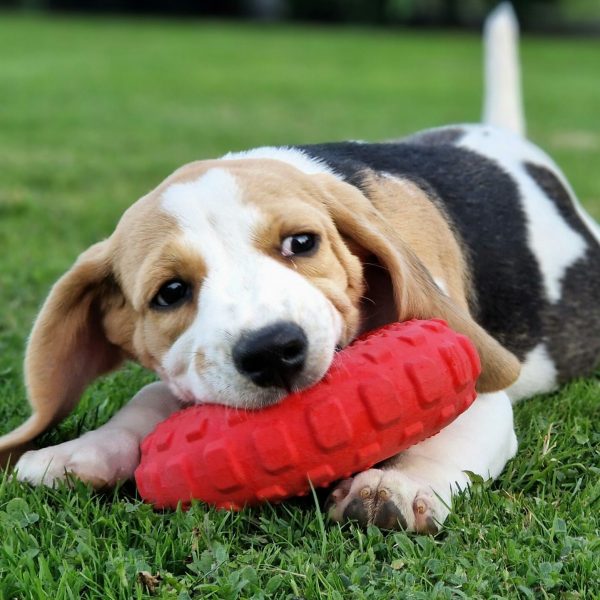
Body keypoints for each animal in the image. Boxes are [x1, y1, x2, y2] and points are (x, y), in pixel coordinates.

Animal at [2, 3, 596, 528]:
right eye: (169, 292)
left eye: (302, 243)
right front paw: (80, 452)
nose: (271, 350)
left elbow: (449, 430)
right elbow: (147, 399)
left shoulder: (475, 375)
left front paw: (397, 485)